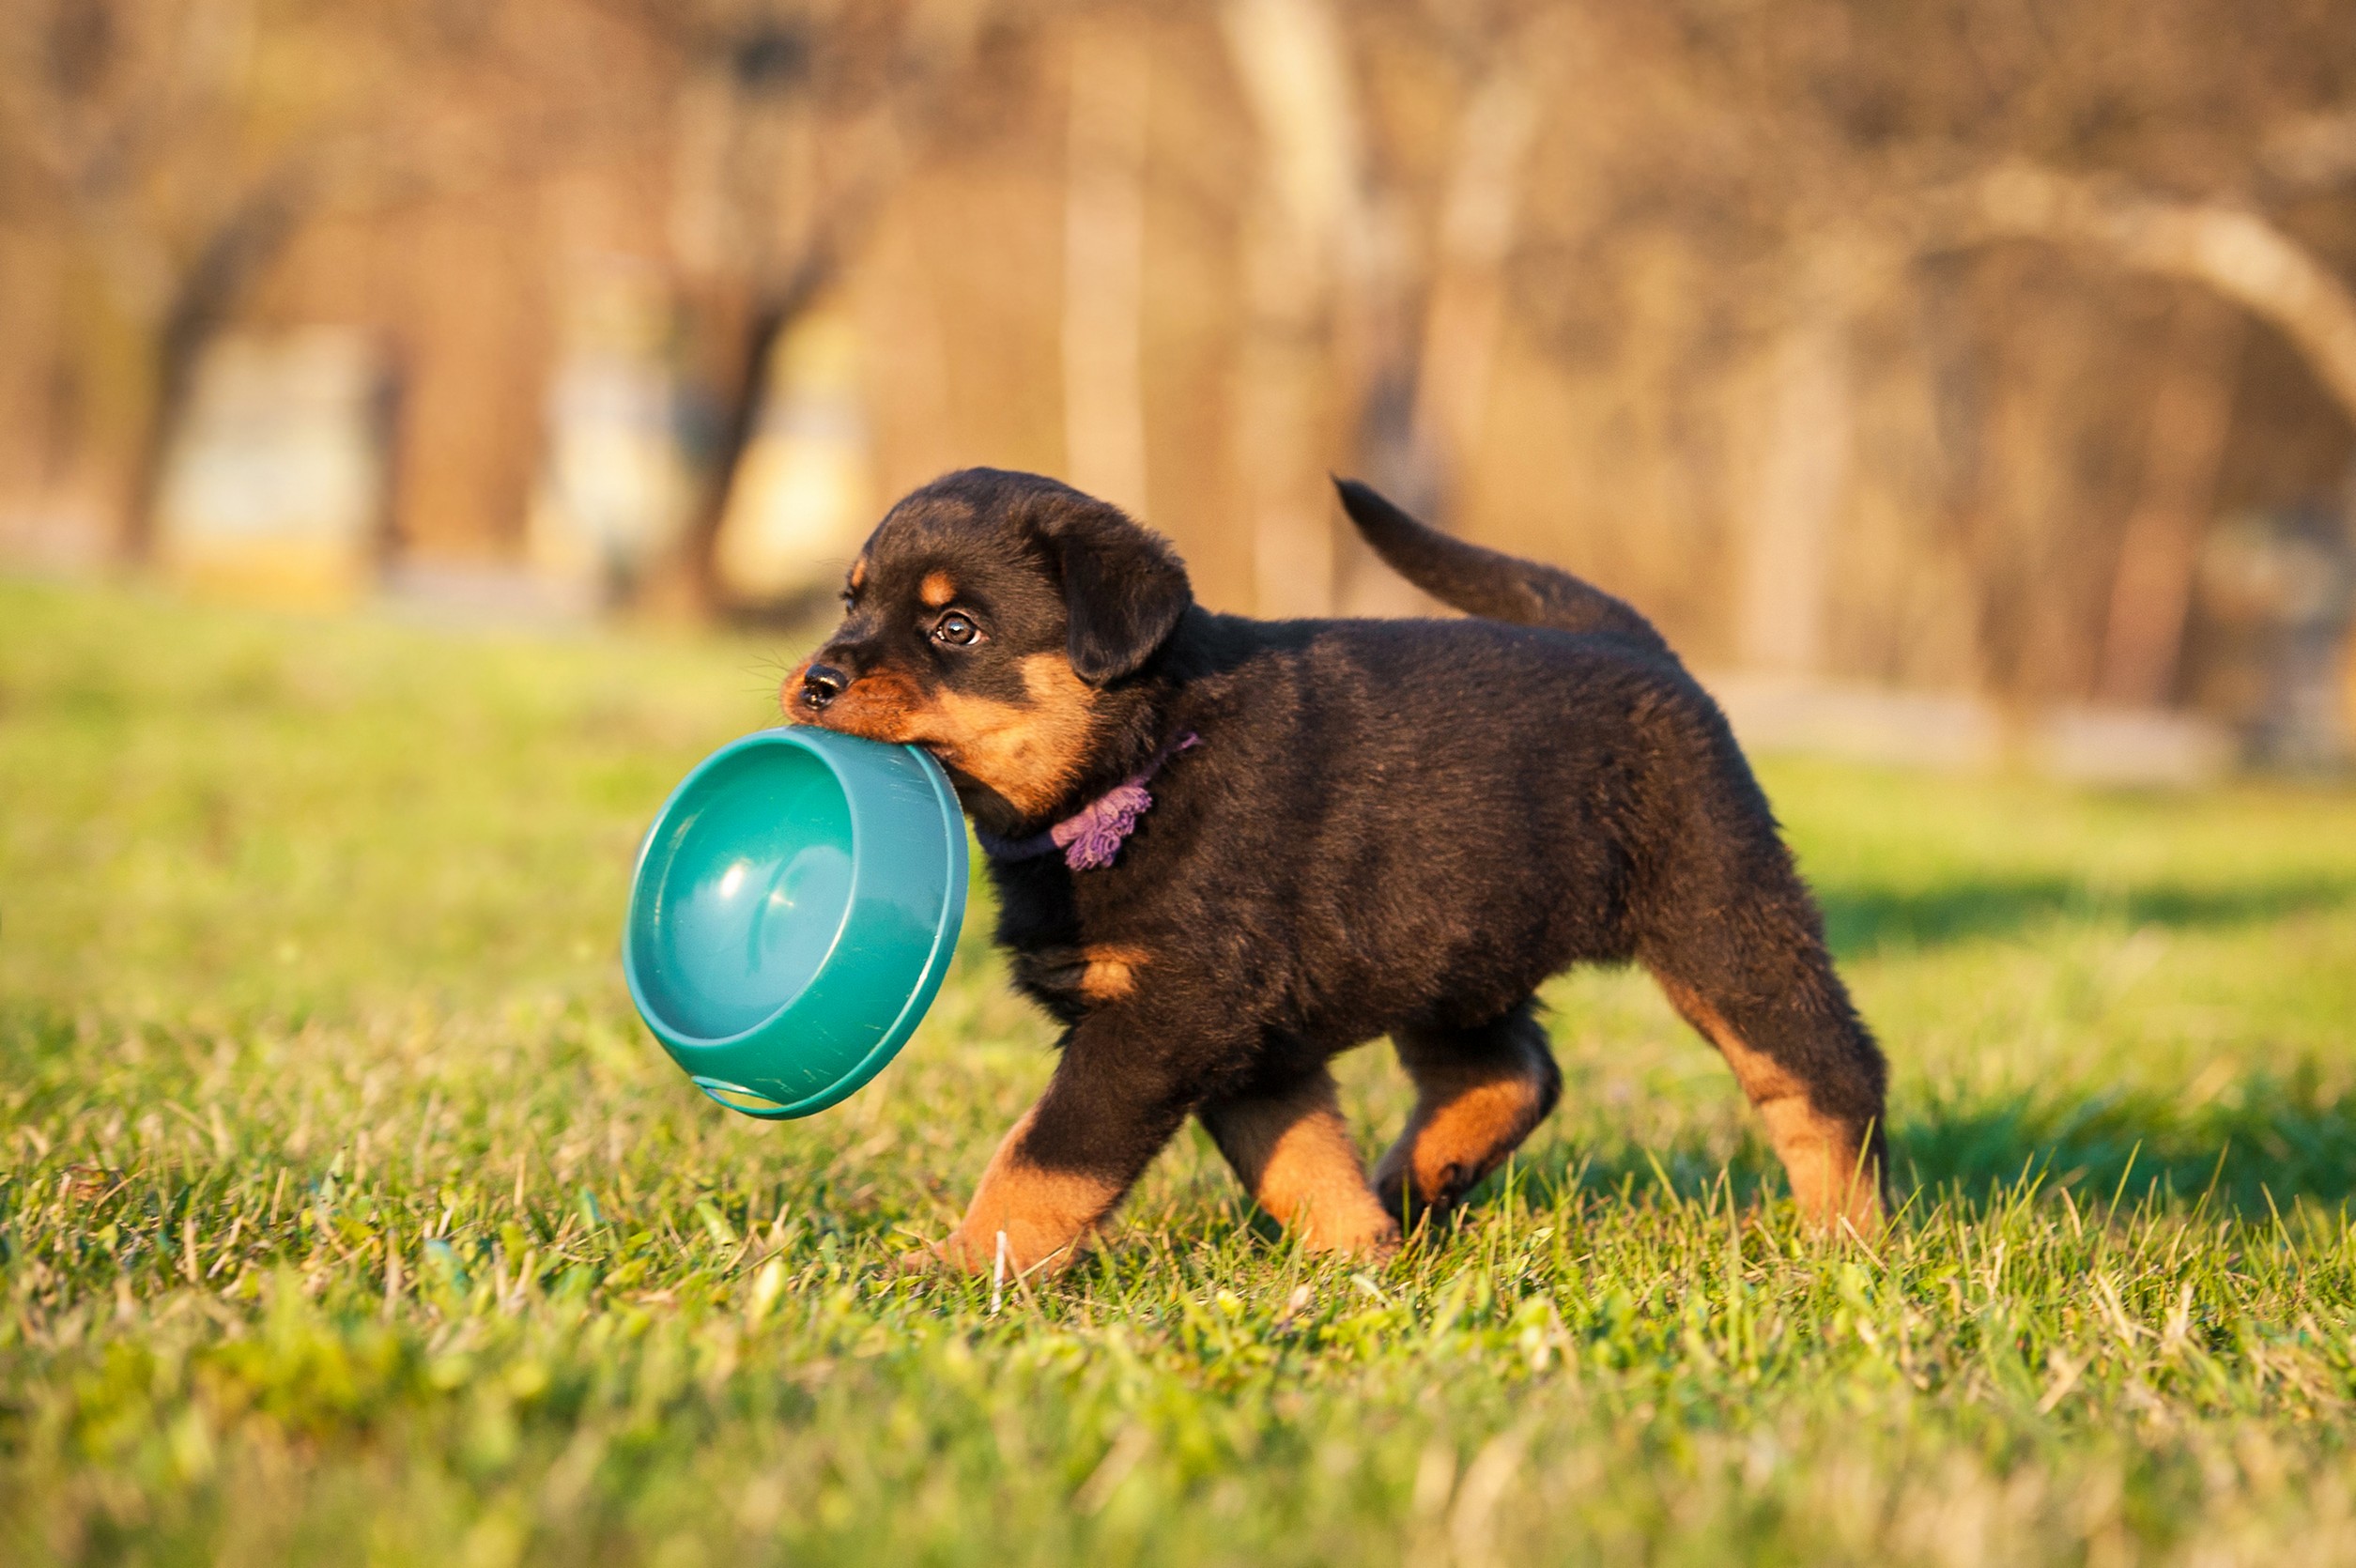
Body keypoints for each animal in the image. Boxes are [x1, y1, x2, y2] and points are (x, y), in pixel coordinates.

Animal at [792, 463, 1894, 1271]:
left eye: (956, 628)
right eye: (849, 602)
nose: (816, 679)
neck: (1143, 758)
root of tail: (1638, 644)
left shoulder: (1168, 1015)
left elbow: (1044, 1155)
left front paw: (955, 1265)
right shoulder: (1247, 1036)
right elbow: (1301, 1156)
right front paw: (1355, 1257)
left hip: (1720, 913)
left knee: (1824, 1073)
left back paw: (1847, 1239)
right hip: (1458, 939)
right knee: (1510, 1070)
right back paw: (1415, 1183)